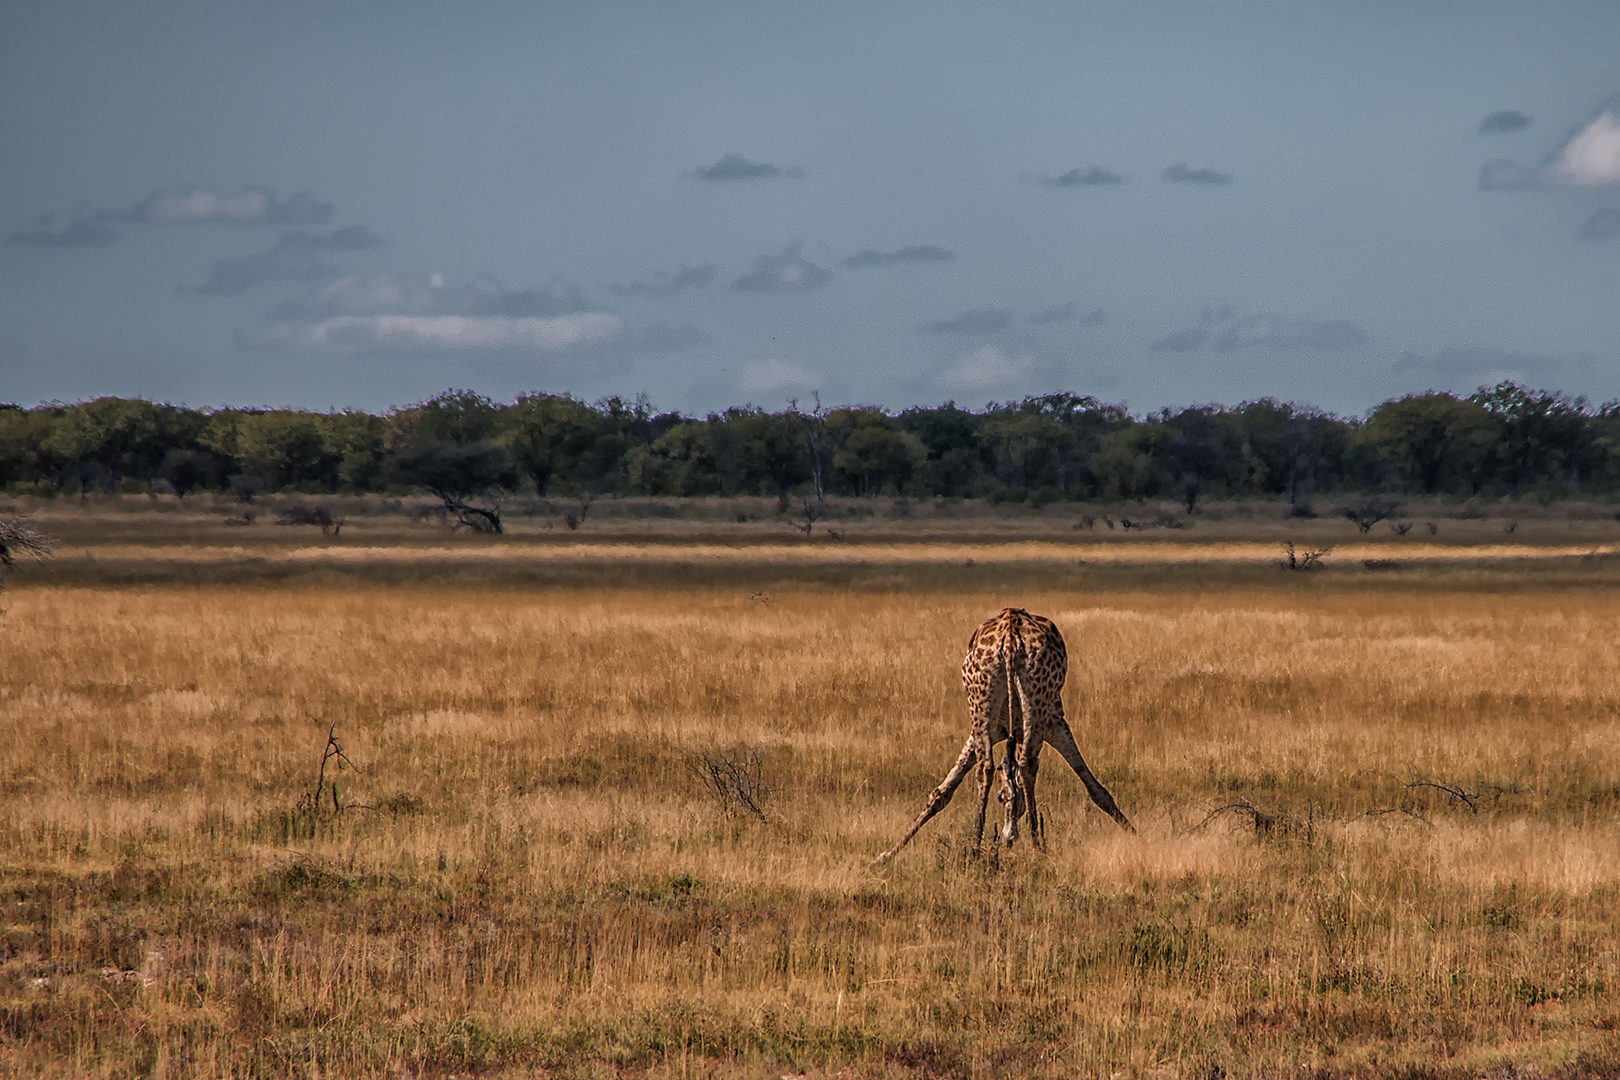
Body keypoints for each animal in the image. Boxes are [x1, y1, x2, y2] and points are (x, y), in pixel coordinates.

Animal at [881, 608, 1134, 861]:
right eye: (1001, 798)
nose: (1008, 838)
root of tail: (1011, 636)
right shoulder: (1054, 721)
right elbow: (1094, 786)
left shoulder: (1008, 729)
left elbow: (944, 790)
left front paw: (887, 853)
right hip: (1030, 704)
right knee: (1024, 765)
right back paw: (1033, 845)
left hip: (983, 703)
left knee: (989, 767)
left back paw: (979, 845)